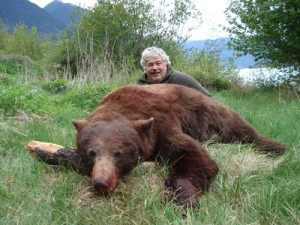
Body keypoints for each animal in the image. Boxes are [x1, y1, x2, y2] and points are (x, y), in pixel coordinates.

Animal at [67, 83, 286, 208]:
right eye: (91, 153)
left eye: (118, 153)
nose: (101, 183)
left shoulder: (163, 124)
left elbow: (196, 157)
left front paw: (181, 201)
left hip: (217, 116)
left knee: (244, 132)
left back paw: (277, 147)